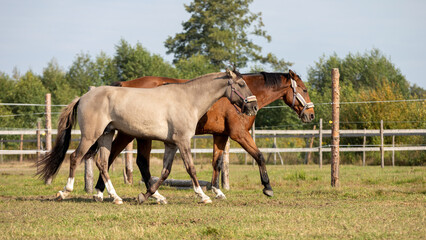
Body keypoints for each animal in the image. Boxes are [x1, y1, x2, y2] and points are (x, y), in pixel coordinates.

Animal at [35, 70, 256, 205]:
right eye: (241, 84)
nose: (253, 107)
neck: (188, 99)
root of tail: (83, 97)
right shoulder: (182, 141)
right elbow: (191, 169)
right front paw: (203, 196)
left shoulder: (171, 144)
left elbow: (165, 172)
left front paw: (146, 195)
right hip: (91, 135)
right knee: (75, 157)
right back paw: (65, 191)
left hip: (106, 135)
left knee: (102, 163)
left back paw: (115, 197)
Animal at [92, 69, 312, 202]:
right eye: (304, 89)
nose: (310, 114)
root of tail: (124, 84)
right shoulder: (239, 134)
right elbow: (259, 155)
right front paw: (267, 187)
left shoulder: (221, 135)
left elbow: (218, 163)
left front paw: (217, 190)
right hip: (133, 135)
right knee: (127, 160)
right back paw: (110, 192)